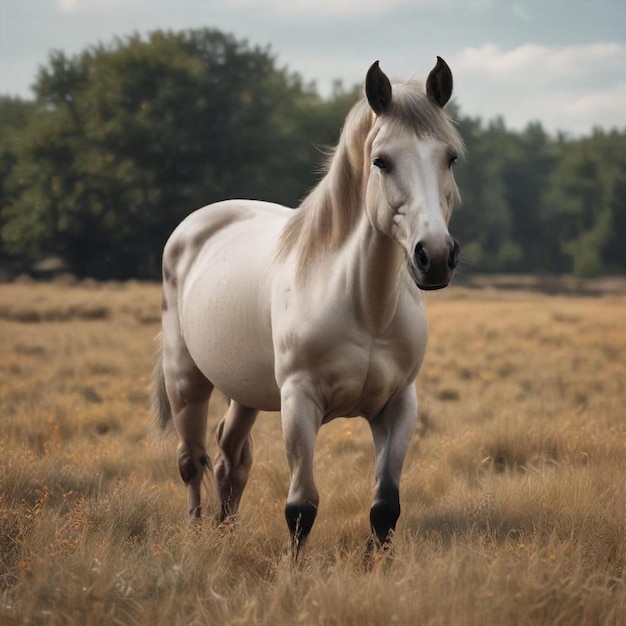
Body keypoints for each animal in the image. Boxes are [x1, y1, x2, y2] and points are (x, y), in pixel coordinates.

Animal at [151, 57, 464, 556]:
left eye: (449, 157)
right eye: (381, 161)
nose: (433, 257)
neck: (364, 306)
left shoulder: (399, 405)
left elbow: (385, 509)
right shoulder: (299, 402)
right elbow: (301, 508)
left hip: (246, 391)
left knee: (229, 458)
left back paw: (226, 533)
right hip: (186, 380)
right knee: (191, 460)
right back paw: (197, 534)